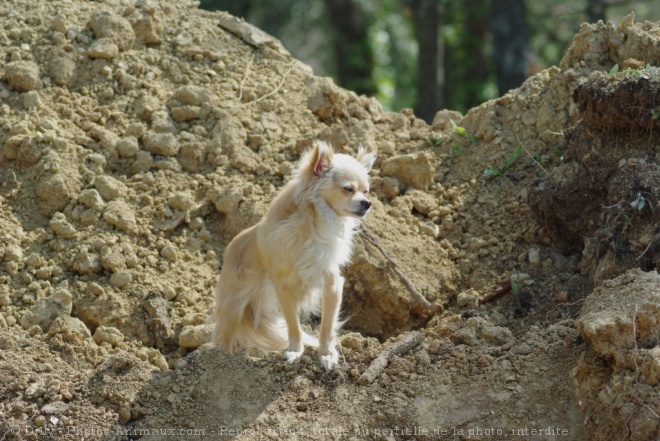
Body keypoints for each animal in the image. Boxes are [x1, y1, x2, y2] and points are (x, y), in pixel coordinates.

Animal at [213, 140, 374, 368]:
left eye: (366, 191)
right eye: (348, 189)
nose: (367, 203)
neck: (314, 225)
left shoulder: (332, 284)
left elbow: (327, 325)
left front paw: (326, 354)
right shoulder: (284, 288)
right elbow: (293, 325)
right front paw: (295, 351)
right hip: (234, 306)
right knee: (224, 335)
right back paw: (220, 357)